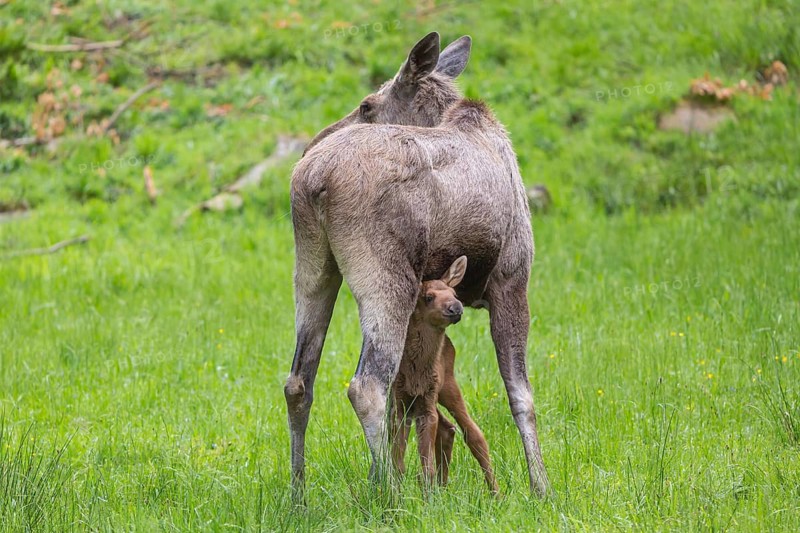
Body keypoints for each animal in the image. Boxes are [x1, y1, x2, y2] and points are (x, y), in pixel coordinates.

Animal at [391, 255, 499, 494]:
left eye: (455, 294)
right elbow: (399, 462)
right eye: (428, 297)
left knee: (473, 433)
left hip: (447, 385)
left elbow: (426, 467)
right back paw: (443, 487)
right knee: (448, 428)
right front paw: (396, 494)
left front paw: (426, 496)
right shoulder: (401, 401)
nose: (455, 307)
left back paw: (496, 492)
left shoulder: (427, 400)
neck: (416, 374)